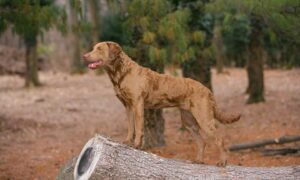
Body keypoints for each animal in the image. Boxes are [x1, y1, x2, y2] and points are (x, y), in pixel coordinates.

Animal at [84, 41, 241, 166]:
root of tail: (207, 90)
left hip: (204, 118)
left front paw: (137, 145)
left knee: (219, 139)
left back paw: (222, 162)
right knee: (202, 141)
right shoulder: (127, 106)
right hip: (189, 121)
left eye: (99, 49)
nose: (85, 56)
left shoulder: (137, 104)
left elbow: (139, 128)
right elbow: (130, 126)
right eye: (93, 48)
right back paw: (199, 161)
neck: (121, 73)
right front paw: (127, 141)